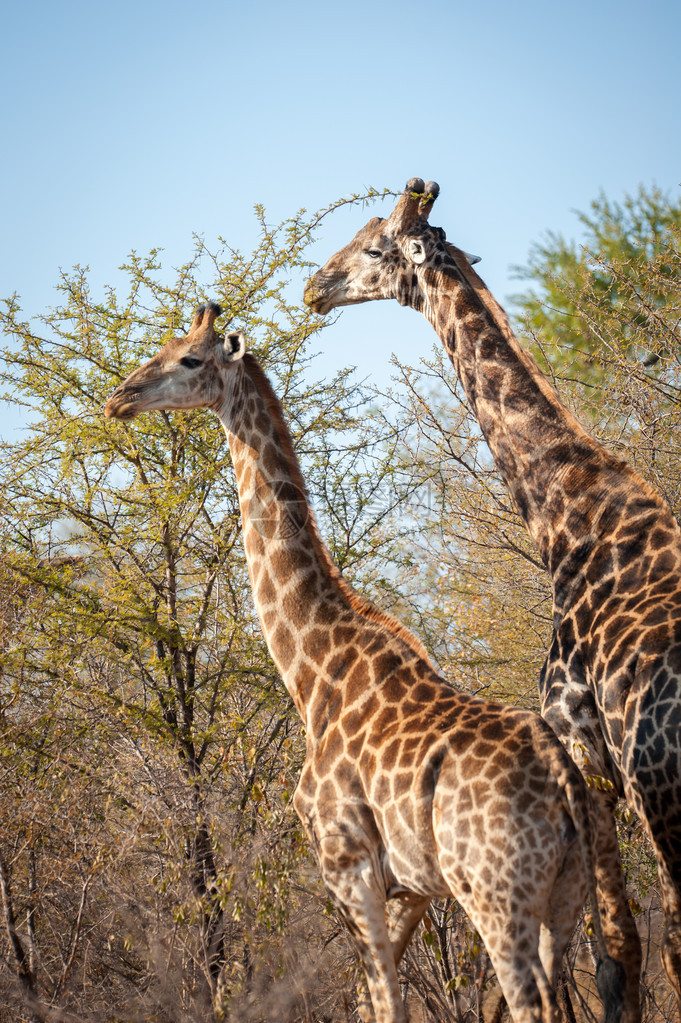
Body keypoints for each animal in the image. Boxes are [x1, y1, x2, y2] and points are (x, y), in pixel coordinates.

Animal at [103, 302, 621, 1023]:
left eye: (189, 358)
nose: (120, 397)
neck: (313, 671)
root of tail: (566, 789)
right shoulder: (412, 885)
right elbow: (375, 998)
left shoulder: (346, 865)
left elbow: (383, 1000)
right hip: (565, 896)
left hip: (495, 896)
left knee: (528, 1000)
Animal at [302, 180, 681, 1018]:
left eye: (374, 247)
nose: (314, 286)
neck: (568, 518)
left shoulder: (583, 747)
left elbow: (618, 954)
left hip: (667, 794)